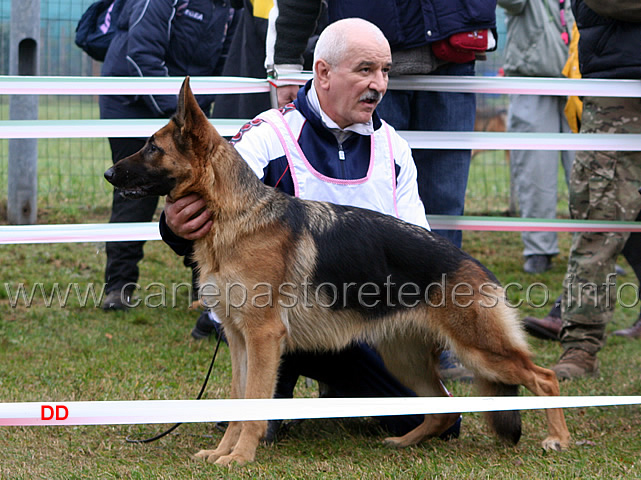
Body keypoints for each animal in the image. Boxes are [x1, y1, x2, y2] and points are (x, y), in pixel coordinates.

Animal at [105, 78, 568, 464]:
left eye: (152, 147)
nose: (108, 172)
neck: (234, 215)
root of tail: (472, 264)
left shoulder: (262, 338)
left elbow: (253, 404)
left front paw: (239, 458)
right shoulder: (238, 340)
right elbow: (238, 402)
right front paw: (223, 452)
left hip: (481, 351)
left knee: (544, 378)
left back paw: (557, 437)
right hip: (404, 359)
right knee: (441, 408)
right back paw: (405, 441)